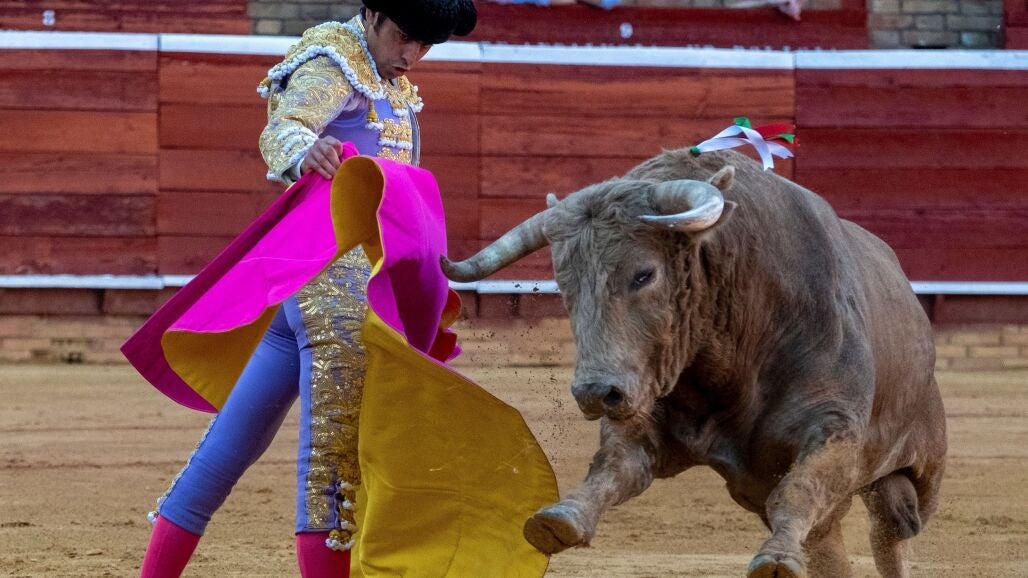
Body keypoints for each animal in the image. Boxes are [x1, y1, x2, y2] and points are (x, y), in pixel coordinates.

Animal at [441, 148, 947, 578]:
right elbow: (614, 467)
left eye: (644, 274)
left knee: (893, 532)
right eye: (565, 283)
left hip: (922, 468)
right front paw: (559, 518)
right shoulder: (648, 407)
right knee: (829, 540)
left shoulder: (836, 427)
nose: (594, 392)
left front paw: (777, 559)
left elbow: (799, 488)